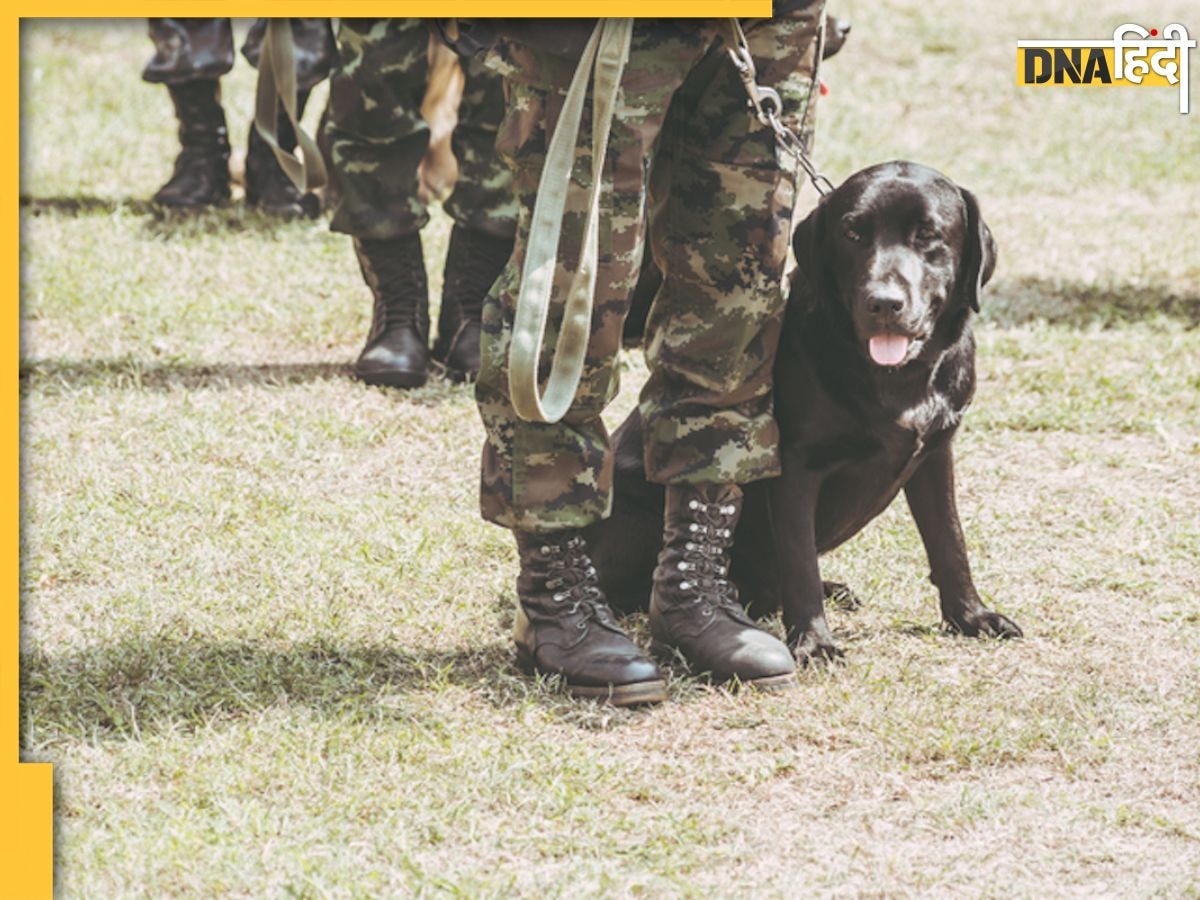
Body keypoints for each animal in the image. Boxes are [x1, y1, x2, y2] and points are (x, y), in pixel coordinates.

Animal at [585, 160, 1017, 662]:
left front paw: (971, 616)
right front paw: (814, 640)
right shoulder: (794, 466)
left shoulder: (934, 454)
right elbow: (799, 560)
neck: (894, 379)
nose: (884, 303)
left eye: (928, 233)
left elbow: (949, 540)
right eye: (852, 233)